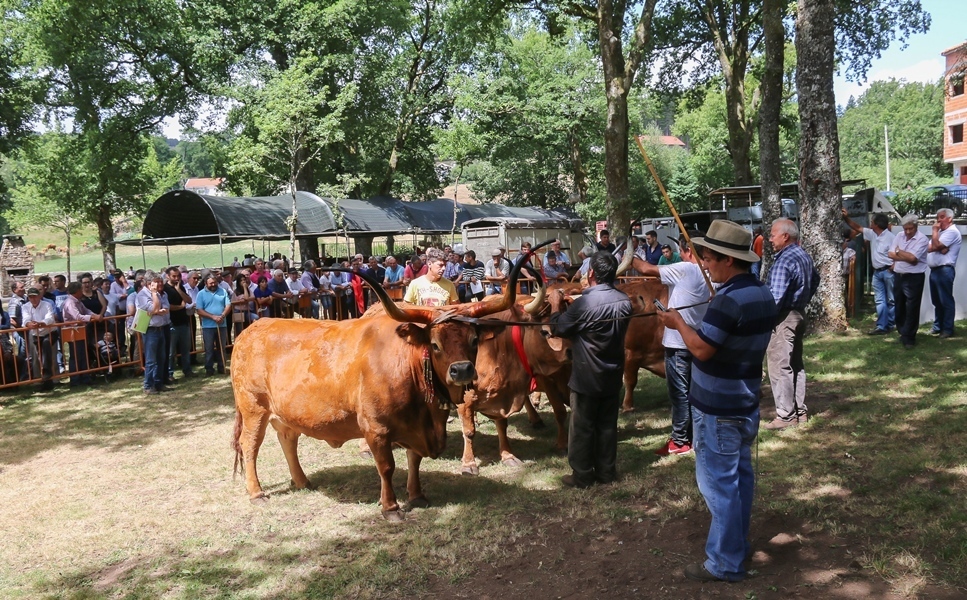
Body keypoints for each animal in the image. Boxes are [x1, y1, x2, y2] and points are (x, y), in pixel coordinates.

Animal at [231, 261, 530, 521]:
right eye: (434, 344)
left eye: (474, 340)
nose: (462, 370)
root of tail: (251, 330)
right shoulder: (375, 427)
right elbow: (387, 467)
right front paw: (391, 507)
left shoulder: (415, 425)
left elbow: (414, 460)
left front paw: (417, 495)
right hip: (253, 408)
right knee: (250, 445)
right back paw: (257, 493)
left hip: (283, 412)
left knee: (287, 438)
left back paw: (302, 480)